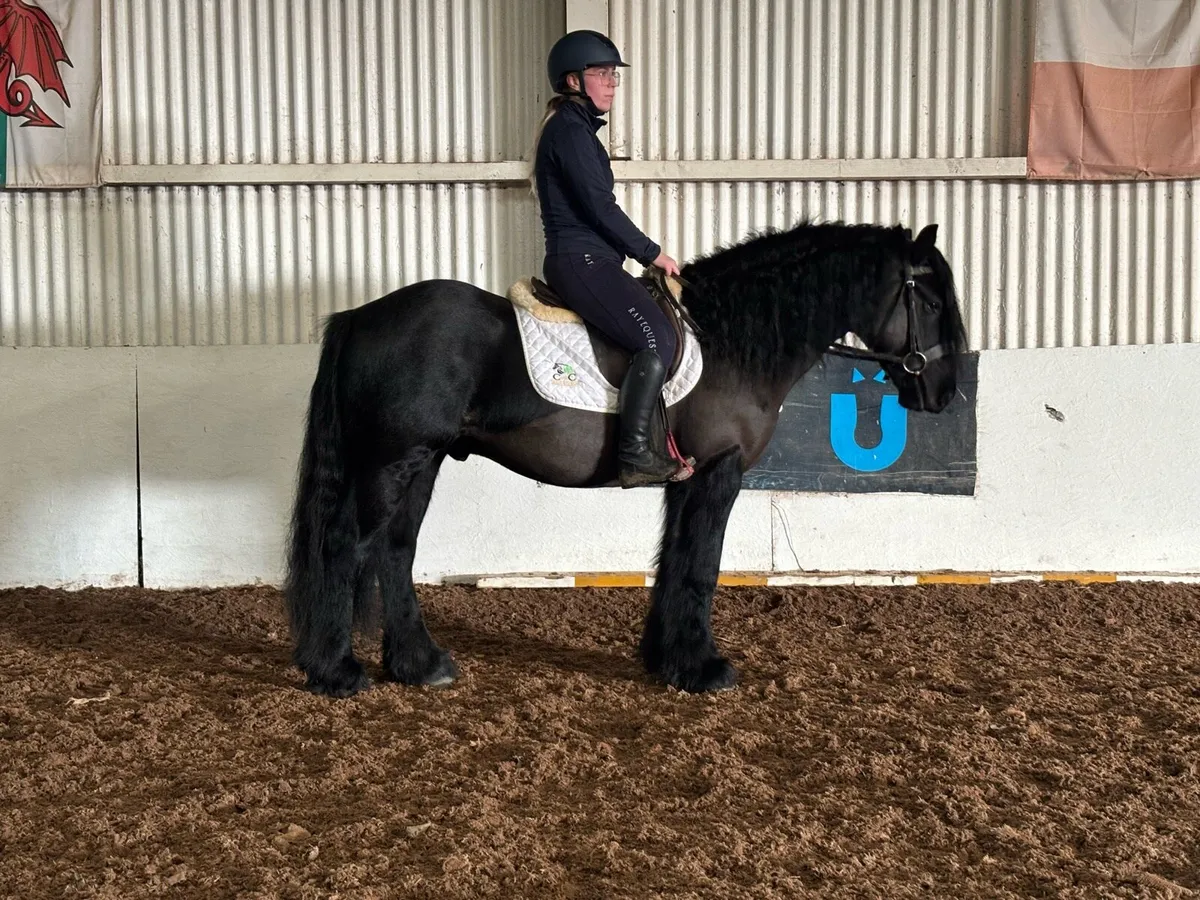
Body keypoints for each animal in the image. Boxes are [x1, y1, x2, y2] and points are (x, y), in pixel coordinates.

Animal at [283, 219, 969, 697]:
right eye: (933, 303)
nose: (943, 393)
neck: (733, 340)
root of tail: (360, 316)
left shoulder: (686, 480)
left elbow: (674, 562)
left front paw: (668, 660)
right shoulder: (718, 472)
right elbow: (701, 567)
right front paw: (702, 669)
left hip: (423, 461)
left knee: (395, 552)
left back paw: (420, 665)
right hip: (394, 460)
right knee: (347, 546)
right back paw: (336, 671)